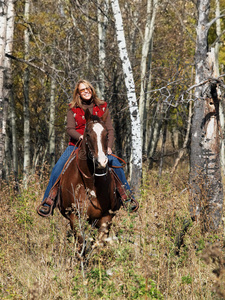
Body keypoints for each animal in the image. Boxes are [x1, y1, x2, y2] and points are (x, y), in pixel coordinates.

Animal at [58, 108, 121, 244]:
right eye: (87, 134)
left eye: (106, 135)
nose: (101, 162)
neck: (90, 184)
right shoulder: (75, 216)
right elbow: (83, 243)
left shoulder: (106, 217)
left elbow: (98, 243)